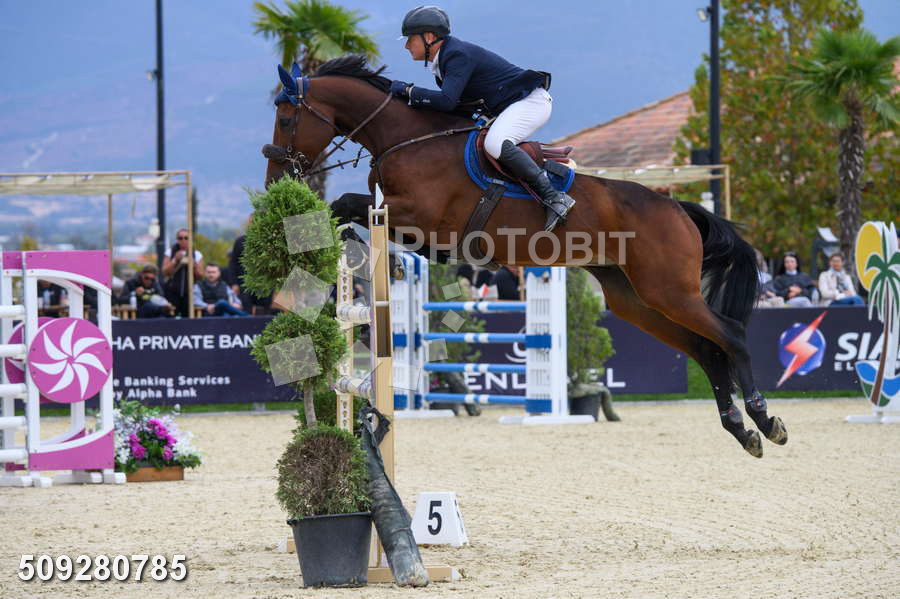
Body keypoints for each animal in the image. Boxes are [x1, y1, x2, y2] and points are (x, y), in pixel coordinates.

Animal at [262, 55, 788, 458]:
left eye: (286, 118)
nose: (275, 180)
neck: (405, 139)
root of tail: (676, 206)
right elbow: (350, 209)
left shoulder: (420, 218)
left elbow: (346, 203)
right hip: (635, 300)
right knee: (705, 348)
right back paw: (740, 430)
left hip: (668, 290)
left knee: (731, 336)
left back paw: (763, 418)